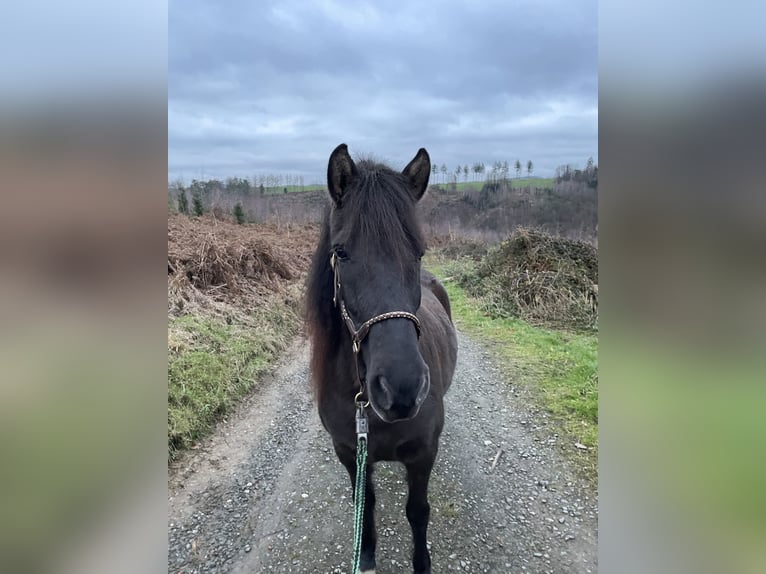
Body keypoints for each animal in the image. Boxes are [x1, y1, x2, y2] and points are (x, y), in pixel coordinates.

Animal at [306, 144, 460, 574]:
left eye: (419, 252)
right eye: (341, 253)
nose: (402, 389)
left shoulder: (423, 455)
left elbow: (418, 512)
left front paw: (422, 563)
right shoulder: (349, 453)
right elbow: (366, 506)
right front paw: (367, 556)